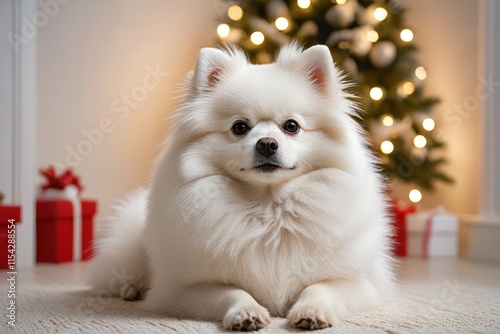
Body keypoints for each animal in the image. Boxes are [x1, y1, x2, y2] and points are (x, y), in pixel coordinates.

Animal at [89, 43, 394, 330]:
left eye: (291, 126)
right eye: (239, 127)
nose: (267, 143)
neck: (269, 208)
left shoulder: (357, 283)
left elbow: (318, 287)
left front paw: (311, 311)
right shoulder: (183, 290)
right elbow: (232, 292)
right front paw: (246, 313)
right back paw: (130, 289)